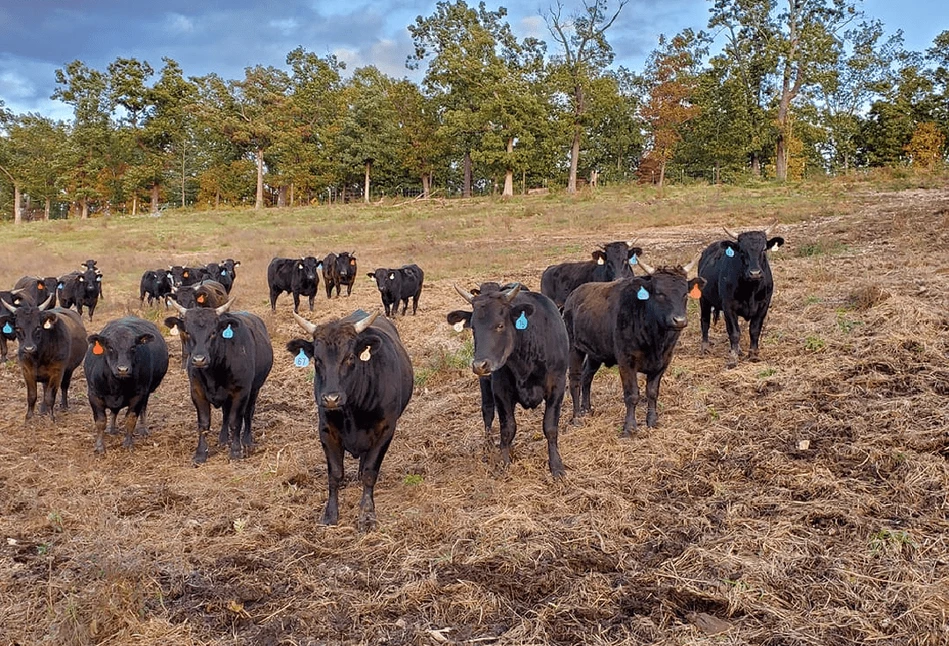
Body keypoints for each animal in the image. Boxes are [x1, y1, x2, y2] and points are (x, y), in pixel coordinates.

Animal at [84, 318, 168, 456]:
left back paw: (143, 429)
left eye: (133, 347)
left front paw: (128, 443)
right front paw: (100, 446)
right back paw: (112, 429)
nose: (122, 369)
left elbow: (131, 419)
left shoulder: (139, 395)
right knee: (114, 412)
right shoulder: (93, 395)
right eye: (110, 347)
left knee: (143, 409)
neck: (116, 386)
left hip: (147, 392)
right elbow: (101, 421)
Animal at [163, 302, 272, 464]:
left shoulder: (241, 391)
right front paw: (200, 453)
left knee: (248, 413)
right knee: (225, 414)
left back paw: (247, 440)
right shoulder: (197, 392)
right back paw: (223, 439)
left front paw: (236, 450)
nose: (199, 360)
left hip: (255, 389)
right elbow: (204, 423)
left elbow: (236, 421)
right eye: (187, 332)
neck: (213, 373)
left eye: (214, 332)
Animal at [286, 310, 412, 532]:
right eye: (317, 359)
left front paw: (367, 515)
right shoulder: (326, 431)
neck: (353, 411)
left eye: (350, 357)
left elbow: (370, 472)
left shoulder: (386, 430)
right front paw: (330, 515)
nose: (331, 398)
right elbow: (335, 474)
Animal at [564, 256, 704, 436]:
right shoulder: (626, 361)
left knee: (587, 376)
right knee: (575, 380)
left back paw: (586, 409)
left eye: (685, 293)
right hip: (574, 349)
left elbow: (652, 392)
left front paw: (652, 420)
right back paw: (576, 417)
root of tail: (574, 295)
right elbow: (632, 395)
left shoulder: (663, 362)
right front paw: (629, 427)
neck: (656, 339)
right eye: (660, 293)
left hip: (596, 353)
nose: (679, 320)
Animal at [696, 224, 784, 368]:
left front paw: (753, 354)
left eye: (764, 249)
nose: (755, 273)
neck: (751, 290)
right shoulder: (729, 307)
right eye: (742, 251)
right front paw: (733, 359)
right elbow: (735, 333)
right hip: (704, 300)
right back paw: (705, 347)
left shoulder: (763, 306)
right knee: (705, 321)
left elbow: (754, 330)